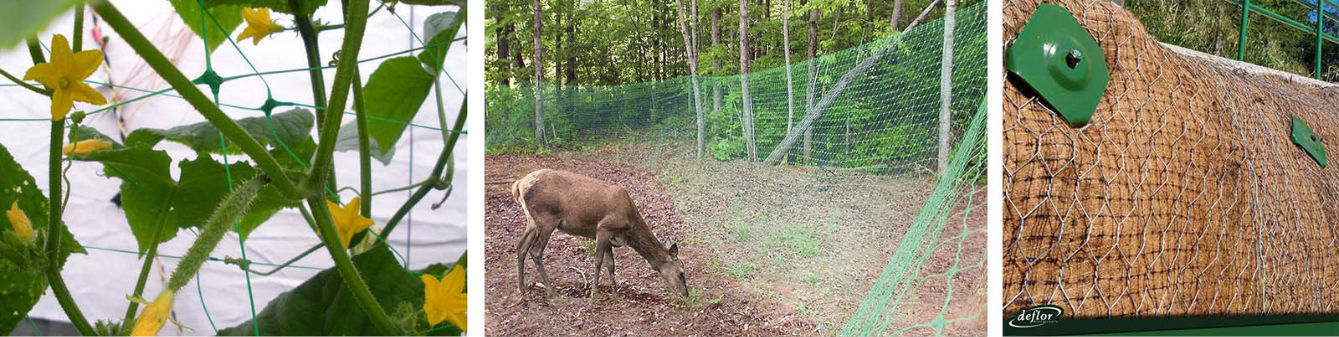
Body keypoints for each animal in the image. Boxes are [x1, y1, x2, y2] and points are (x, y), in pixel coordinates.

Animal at [506, 168, 685, 296]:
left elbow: (611, 264)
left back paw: (522, 289)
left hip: (532, 221)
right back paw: (551, 292)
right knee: (535, 251)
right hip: (546, 219)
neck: (629, 228)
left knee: (521, 247)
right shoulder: (604, 228)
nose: (686, 294)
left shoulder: (611, 238)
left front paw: (615, 293)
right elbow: (598, 261)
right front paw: (594, 292)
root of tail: (519, 184)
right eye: (681, 273)